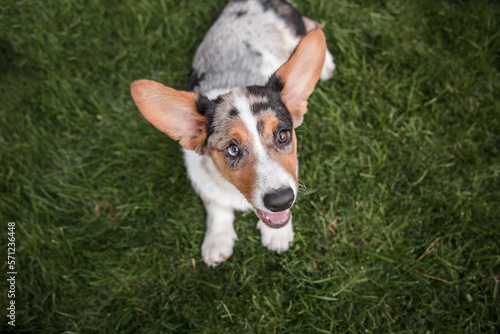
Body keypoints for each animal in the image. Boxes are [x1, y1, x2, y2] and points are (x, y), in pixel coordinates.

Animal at [132, 0, 336, 266]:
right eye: (232, 149)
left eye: (282, 135)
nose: (281, 200)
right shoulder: (203, 181)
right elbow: (216, 207)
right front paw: (217, 241)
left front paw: (277, 236)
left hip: (294, 24)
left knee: (312, 24)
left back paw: (327, 63)